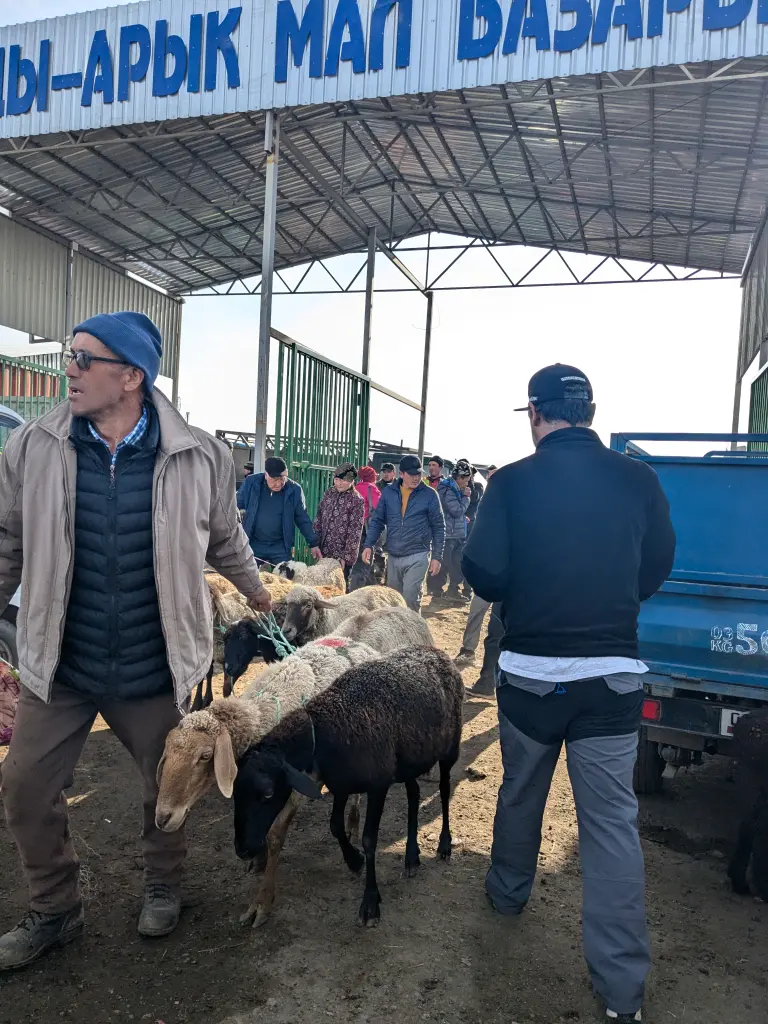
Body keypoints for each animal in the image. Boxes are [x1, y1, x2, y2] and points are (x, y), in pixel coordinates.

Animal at [233, 647, 462, 929]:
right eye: (234, 792)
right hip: (408, 760)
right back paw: (411, 858)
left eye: (267, 793)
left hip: (449, 748)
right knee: (413, 794)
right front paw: (354, 861)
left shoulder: (377, 785)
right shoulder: (340, 784)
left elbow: (369, 839)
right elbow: (335, 826)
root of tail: (439, 653)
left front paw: (370, 903)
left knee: (444, 788)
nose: (242, 850)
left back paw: (444, 845)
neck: (321, 730)